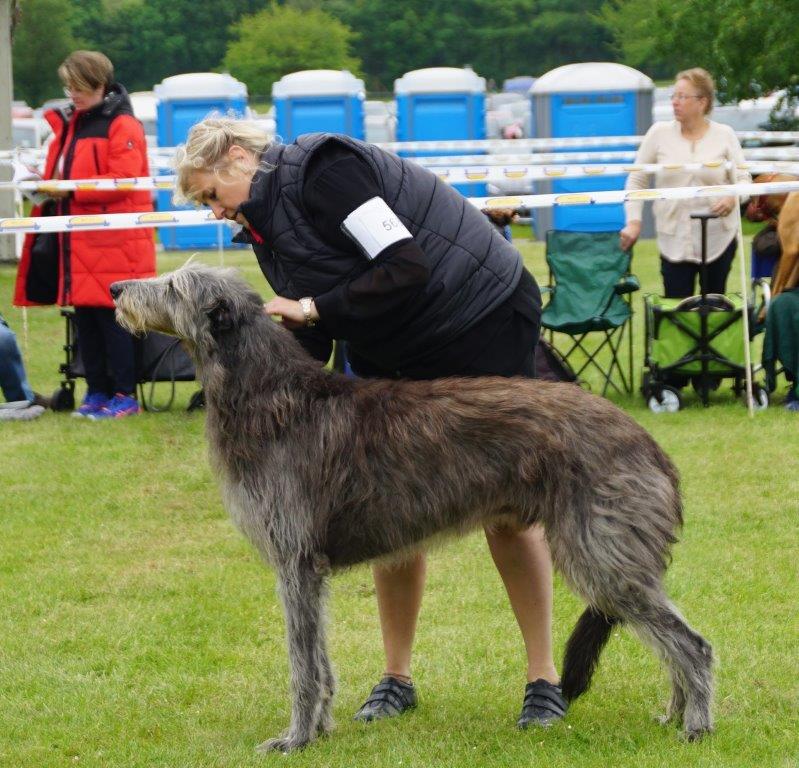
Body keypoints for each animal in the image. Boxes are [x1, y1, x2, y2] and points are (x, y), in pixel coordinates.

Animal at [111, 262, 712, 752]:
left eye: (174, 286)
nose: (116, 288)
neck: (271, 397)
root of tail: (650, 445)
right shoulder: (311, 571)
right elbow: (320, 659)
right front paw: (321, 730)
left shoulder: (295, 561)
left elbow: (302, 665)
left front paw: (295, 738)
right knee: (673, 635)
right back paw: (673, 713)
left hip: (601, 551)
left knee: (692, 643)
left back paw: (697, 725)